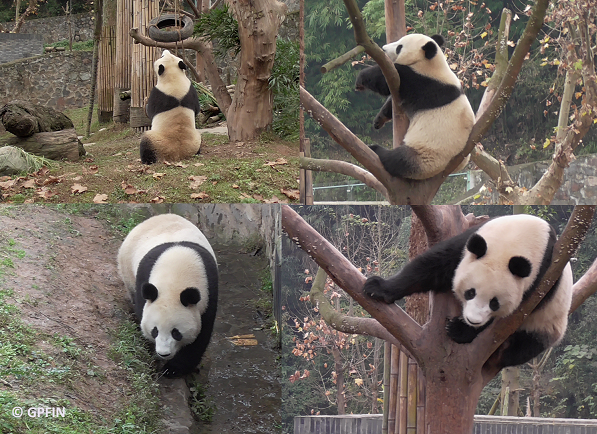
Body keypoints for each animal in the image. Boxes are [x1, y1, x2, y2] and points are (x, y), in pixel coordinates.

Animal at [117, 214, 218, 376]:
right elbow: (142, 309)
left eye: (176, 333)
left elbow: (201, 334)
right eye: (155, 331)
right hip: (126, 265)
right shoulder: (144, 280)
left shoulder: (209, 290)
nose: (163, 353)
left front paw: (173, 369)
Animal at [354, 33, 474, 181]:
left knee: (398, 160)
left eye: (399, 47)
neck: (432, 64)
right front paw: (379, 120)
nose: (383, 49)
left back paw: (375, 150)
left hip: (426, 155)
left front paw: (361, 78)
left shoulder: (424, 84)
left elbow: (387, 82)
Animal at [360, 214, 576, 370]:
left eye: (494, 303)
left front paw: (459, 329)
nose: (472, 320)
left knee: (527, 343)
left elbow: (515, 315)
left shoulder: (543, 278)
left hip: (549, 325)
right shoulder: (471, 243)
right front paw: (378, 288)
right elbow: (432, 266)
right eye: (470, 293)